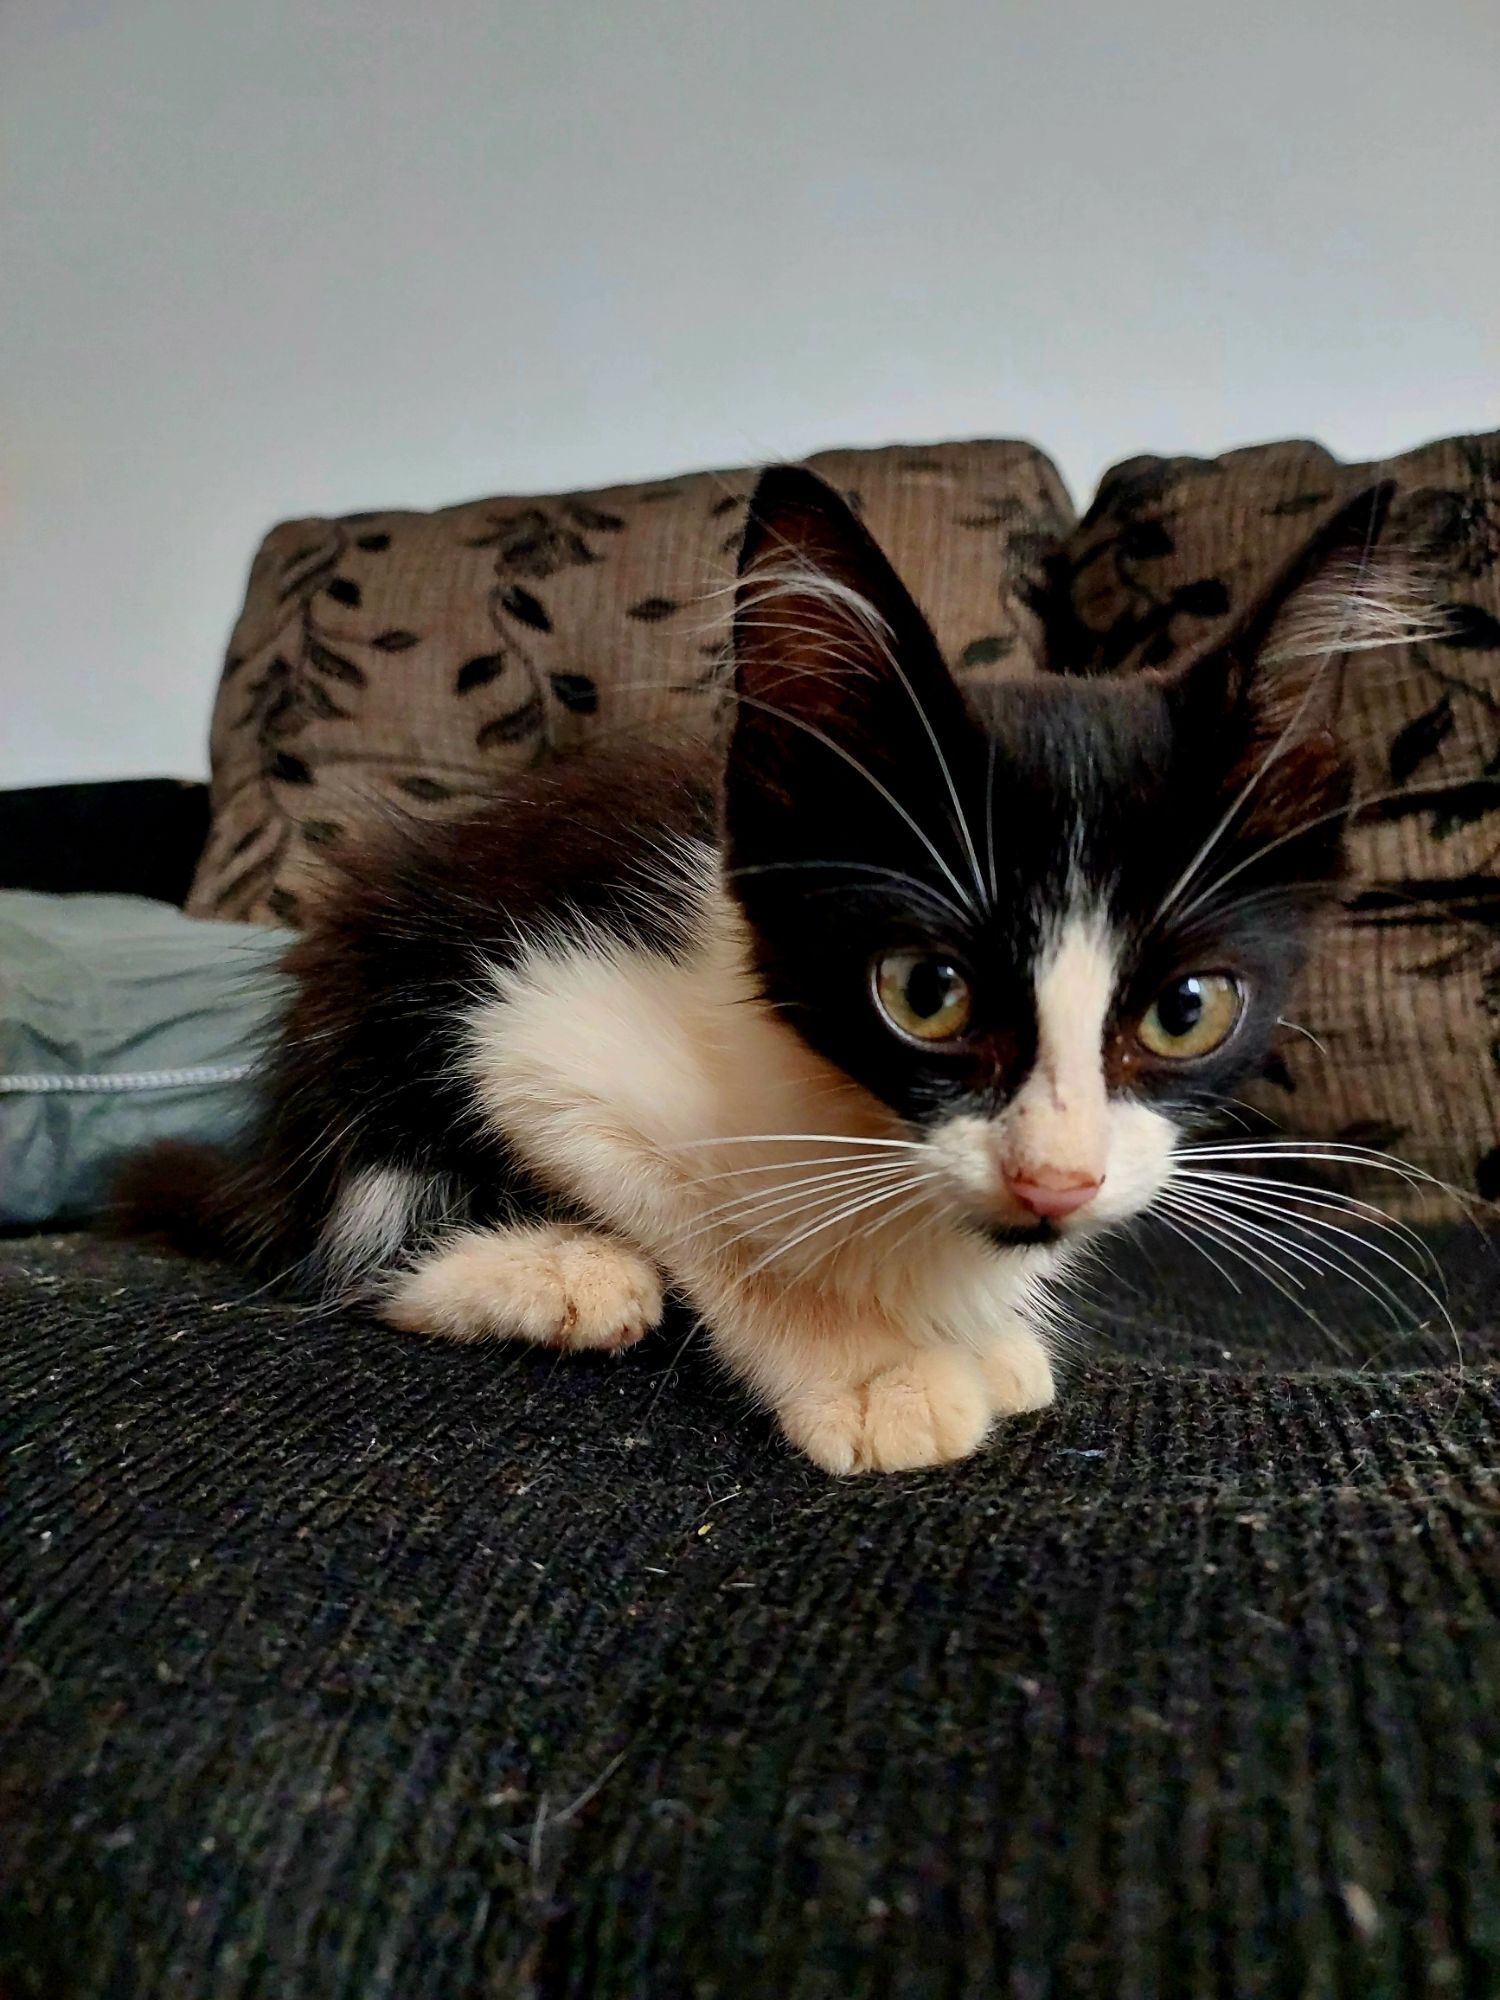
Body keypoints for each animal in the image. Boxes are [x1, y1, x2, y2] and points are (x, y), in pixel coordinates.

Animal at [120, 463, 1412, 1474]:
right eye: (925, 991)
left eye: (1187, 1009)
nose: (1056, 1180)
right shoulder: (535, 1026)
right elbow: (704, 1213)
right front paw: (873, 1368)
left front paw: (977, 1329)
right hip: (367, 980)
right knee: (335, 1228)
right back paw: (552, 1273)